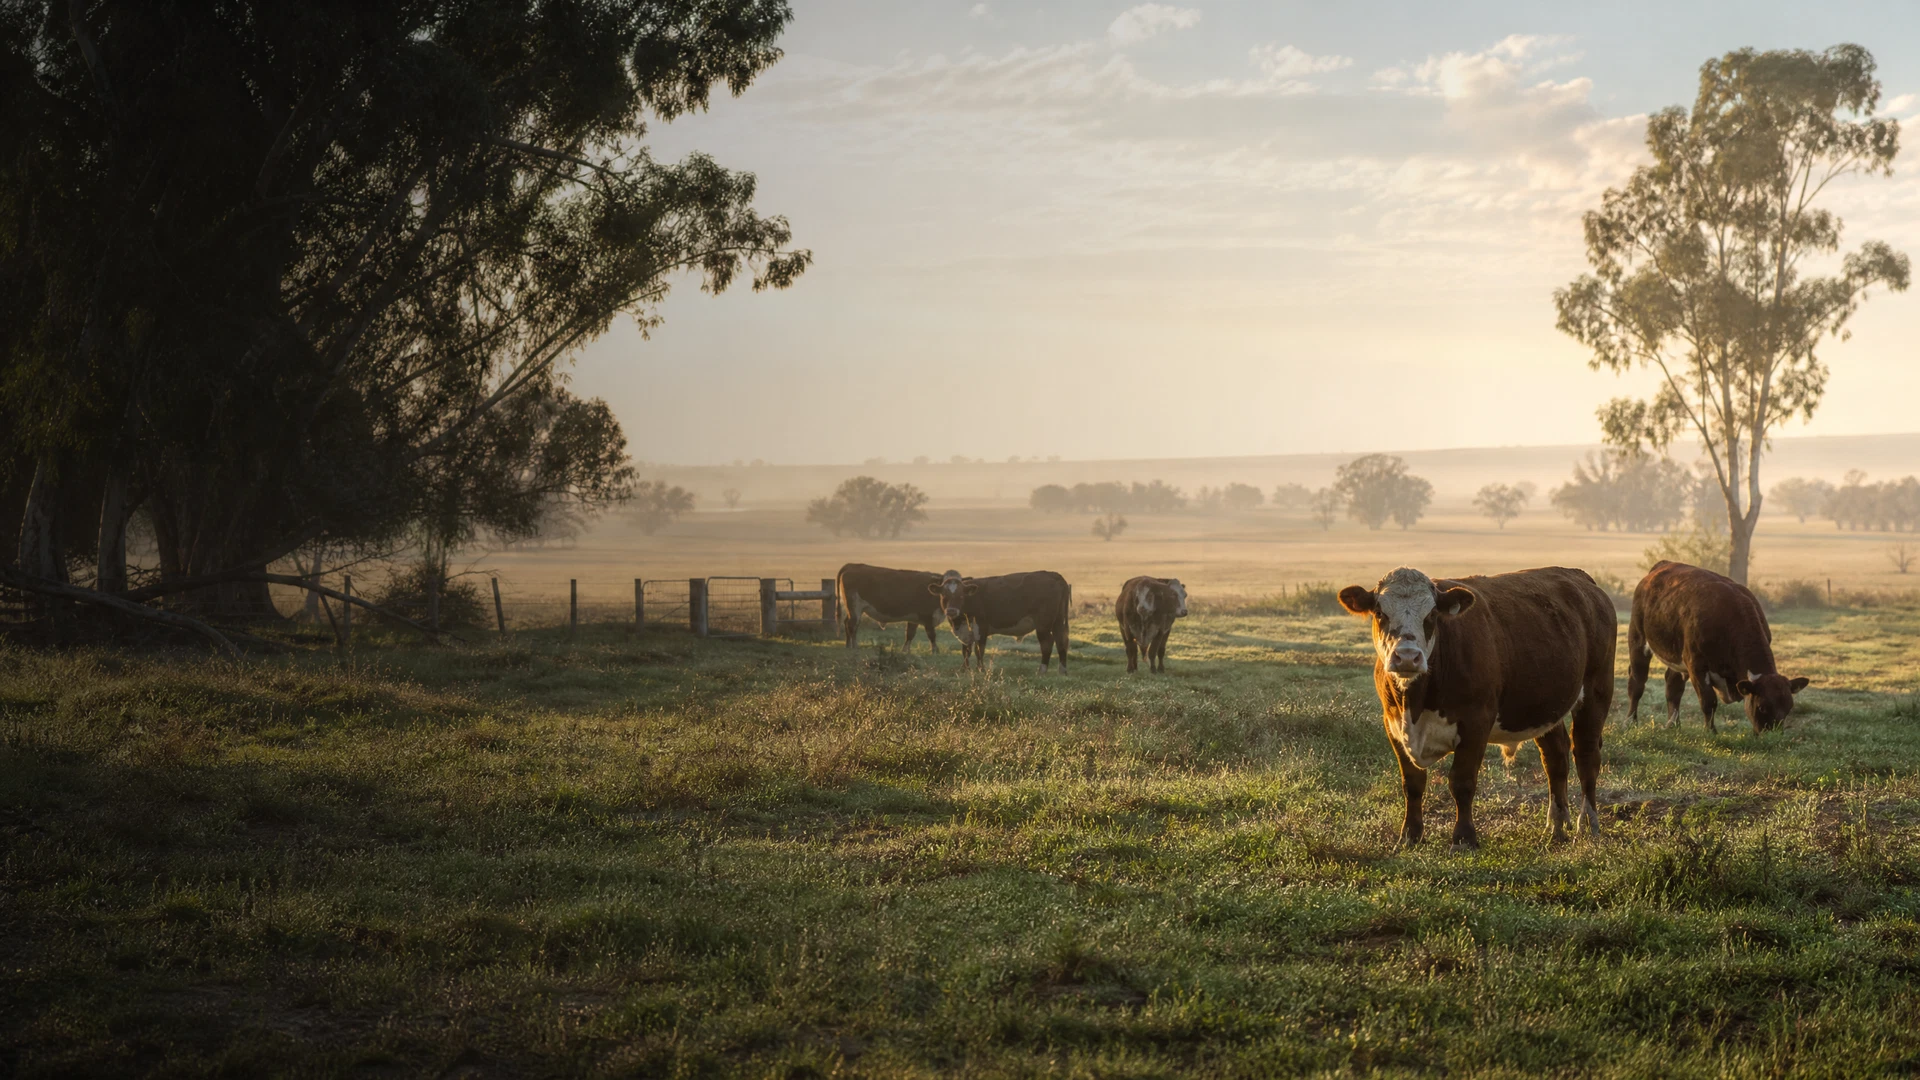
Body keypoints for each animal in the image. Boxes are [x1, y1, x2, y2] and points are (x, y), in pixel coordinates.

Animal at [929, 570, 1071, 673]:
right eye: (944, 595)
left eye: (961, 596)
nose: (951, 611)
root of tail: (1054, 575)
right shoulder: (965, 631)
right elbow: (966, 650)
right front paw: (965, 669)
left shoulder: (981, 627)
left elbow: (979, 650)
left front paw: (980, 669)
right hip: (1058, 621)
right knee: (1061, 641)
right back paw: (1062, 670)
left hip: (1043, 624)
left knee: (1047, 643)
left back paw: (1042, 670)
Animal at [1338, 566, 1615, 849]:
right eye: (1380, 612)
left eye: (1432, 614)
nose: (1407, 656)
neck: (1415, 703)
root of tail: (1578, 575)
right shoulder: (1393, 724)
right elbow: (1412, 783)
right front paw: (1410, 836)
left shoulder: (1476, 722)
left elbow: (1462, 782)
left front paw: (1463, 838)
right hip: (1545, 705)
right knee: (1555, 756)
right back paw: (1556, 824)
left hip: (1597, 690)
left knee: (1586, 755)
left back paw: (1588, 822)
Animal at [1628, 560, 1809, 734]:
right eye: (1762, 707)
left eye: (1788, 708)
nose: (1773, 736)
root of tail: (1662, 565)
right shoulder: (1696, 665)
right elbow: (1709, 701)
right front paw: (1711, 732)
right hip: (1638, 639)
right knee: (1637, 683)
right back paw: (1631, 722)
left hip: (1676, 656)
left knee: (1673, 687)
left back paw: (1673, 725)